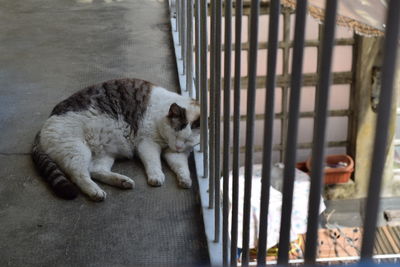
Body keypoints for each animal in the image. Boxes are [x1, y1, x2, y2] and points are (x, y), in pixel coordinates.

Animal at [32, 78, 200, 202]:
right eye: (176, 133)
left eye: (188, 141)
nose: (178, 147)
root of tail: (42, 127)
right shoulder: (147, 143)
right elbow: (154, 162)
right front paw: (156, 176)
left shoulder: (176, 154)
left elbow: (181, 167)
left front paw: (185, 179)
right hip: (77, 150)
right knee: (78, 174)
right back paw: (95, 191)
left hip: (105, 154)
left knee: (95, 170)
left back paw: (122, 181)